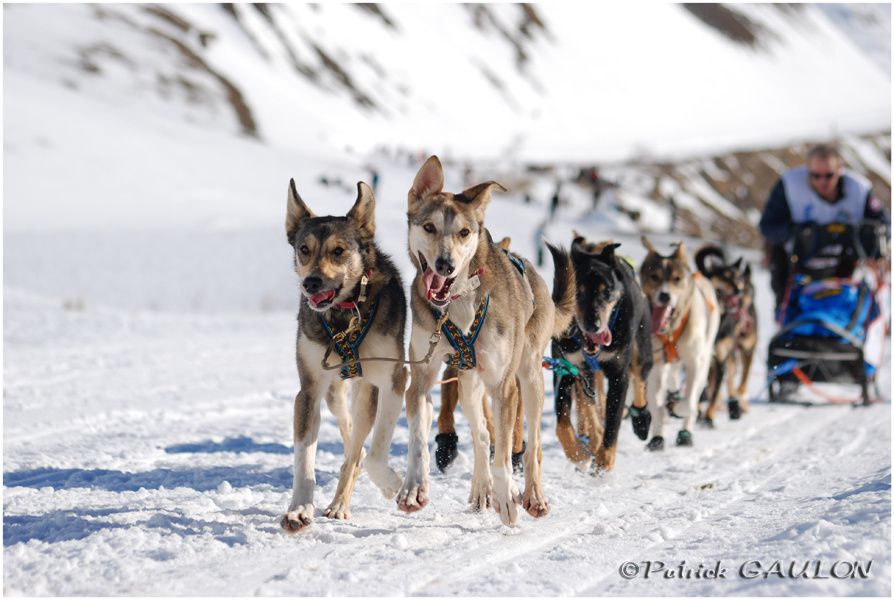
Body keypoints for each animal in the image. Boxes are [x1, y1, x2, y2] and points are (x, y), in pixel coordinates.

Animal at [400, 156, 576, 524]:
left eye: (464, 232)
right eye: (429, 227)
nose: (445, 264)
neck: (457, 303)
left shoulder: (503, 385)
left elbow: (506, 452)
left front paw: (507, 496)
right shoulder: (422, 377)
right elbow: (419, 436)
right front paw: (414, 488)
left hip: (529, 376)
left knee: (532, 443)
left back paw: (532, 495)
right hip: (467, 382)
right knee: (481, 434)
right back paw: (482, 489)